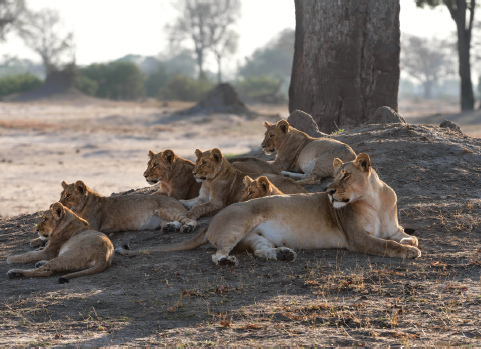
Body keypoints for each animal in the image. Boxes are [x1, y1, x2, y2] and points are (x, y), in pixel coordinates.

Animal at [58, 179, 197, 234]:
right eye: (61, 195)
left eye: (68, 195)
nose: (58, 203)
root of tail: (178, 201)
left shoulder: (93, 226)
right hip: (161, 220)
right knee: (177, 221)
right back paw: (170, 227)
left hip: (167, 210)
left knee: (190, 219)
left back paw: (187, 228)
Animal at [179, 147, 308, 219]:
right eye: (196, 162)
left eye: (204, 163)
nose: (193, 173)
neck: (208, 181)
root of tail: (303, 190)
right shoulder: (202, 197)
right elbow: (188, 201)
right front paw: (182, 204)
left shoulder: (218, 202)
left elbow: (198, 207)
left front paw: (191, 215)